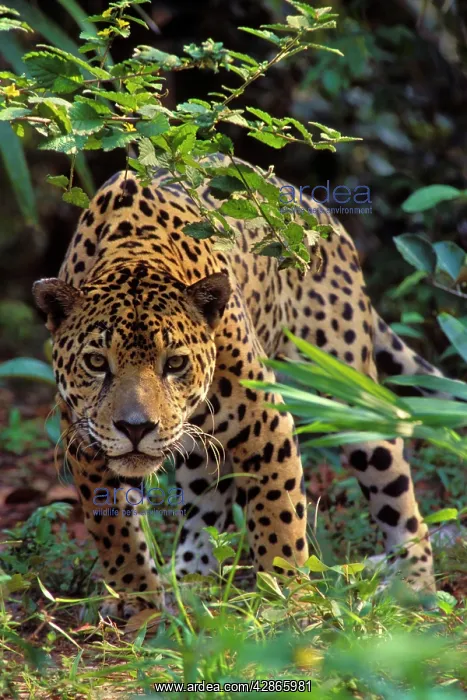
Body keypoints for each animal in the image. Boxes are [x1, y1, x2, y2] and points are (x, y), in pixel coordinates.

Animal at [33, 154, 443, 617]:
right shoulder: (83, 439)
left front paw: (292, 601)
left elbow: (280, 517)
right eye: (97, 363)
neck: (134, 253)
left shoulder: (266, 421)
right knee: (205, 495)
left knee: (397, 492)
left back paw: (413, 582)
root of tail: (322, 214)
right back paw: (191, 580)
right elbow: (115, 529)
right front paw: (138, 603)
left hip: (348, 396)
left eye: (175, 363)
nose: (136, 428)